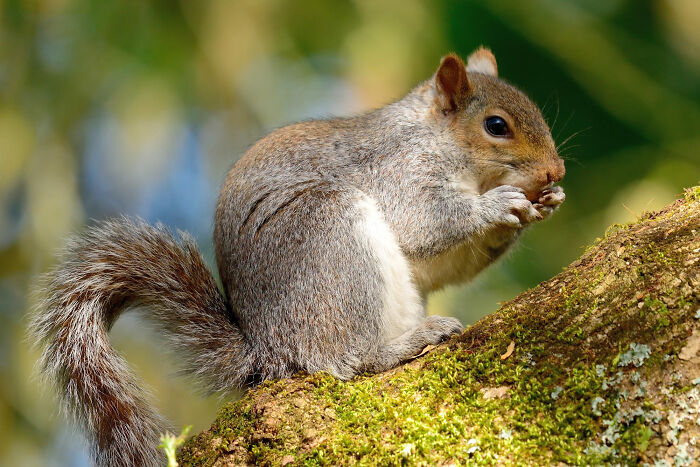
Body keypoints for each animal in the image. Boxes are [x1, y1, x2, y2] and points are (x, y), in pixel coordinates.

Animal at [29, 48, 565, 466]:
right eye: (496, 126)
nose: (555, 172)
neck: (436, 139)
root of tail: (267, 351)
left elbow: (444, 265)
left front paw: (543, 206)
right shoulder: (399, 173)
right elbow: (424, 224)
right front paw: (498, 206)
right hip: (328, 239)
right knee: (345, 361)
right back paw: (402, 345)